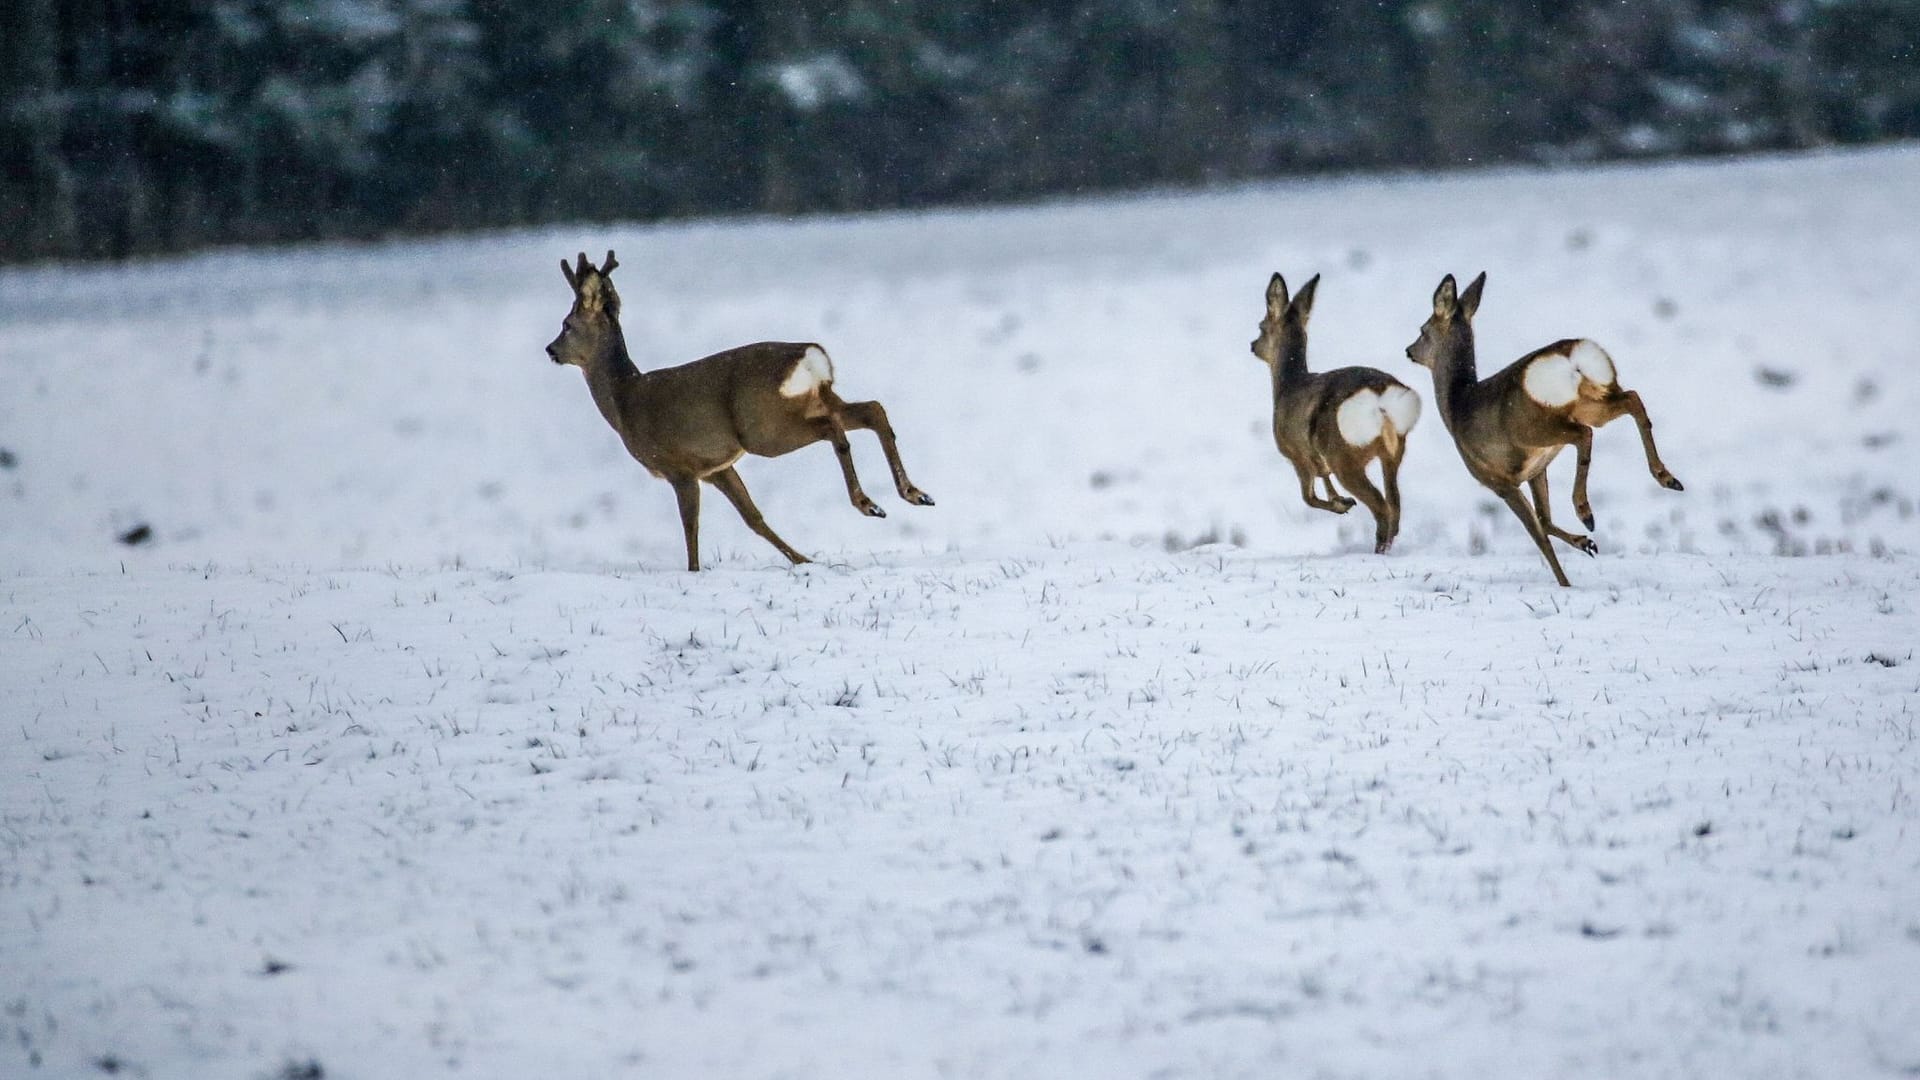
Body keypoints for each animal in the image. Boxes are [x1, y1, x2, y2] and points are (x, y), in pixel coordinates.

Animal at [545, 249, 933, 572]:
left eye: (566, 325)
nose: (550, 349)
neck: (624, 400)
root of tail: (810, 356)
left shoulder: (678, 466)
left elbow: (690, 526)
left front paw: (694, 572)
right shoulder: (717, 467)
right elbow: (753, 518)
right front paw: (804, 560)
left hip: (763, 427)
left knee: (831, 429)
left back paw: (868, 502)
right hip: (816, 399)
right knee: (872, 410)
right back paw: (913, 493)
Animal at [1251, 272, 1420, 549]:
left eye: (1261, 326)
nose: (1253, 345)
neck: (1287, 386)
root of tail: (1380, 398)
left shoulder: (1294, 452)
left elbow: (1308, 497)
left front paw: (1343, 505)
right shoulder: (1317, 457)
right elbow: (1323, 478)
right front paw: (1341, 501)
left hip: (1344, 454)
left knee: (1382, 507)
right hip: (1394, 450)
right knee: (1394, 506)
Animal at [1405, 272, 1689, 584]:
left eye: (1422, 330)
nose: (1409, 351)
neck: (1456, 407)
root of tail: (1571, 359)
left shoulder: (1498, 481)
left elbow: (1539, 536)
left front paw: (1565, 582)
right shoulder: (1536, 469)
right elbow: (1545, 519)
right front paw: (1585, 544)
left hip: (1536, 424)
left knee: (1584, 434)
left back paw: (1585, 511)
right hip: (1591, 402)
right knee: (1632, 399)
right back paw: (1666, 478)